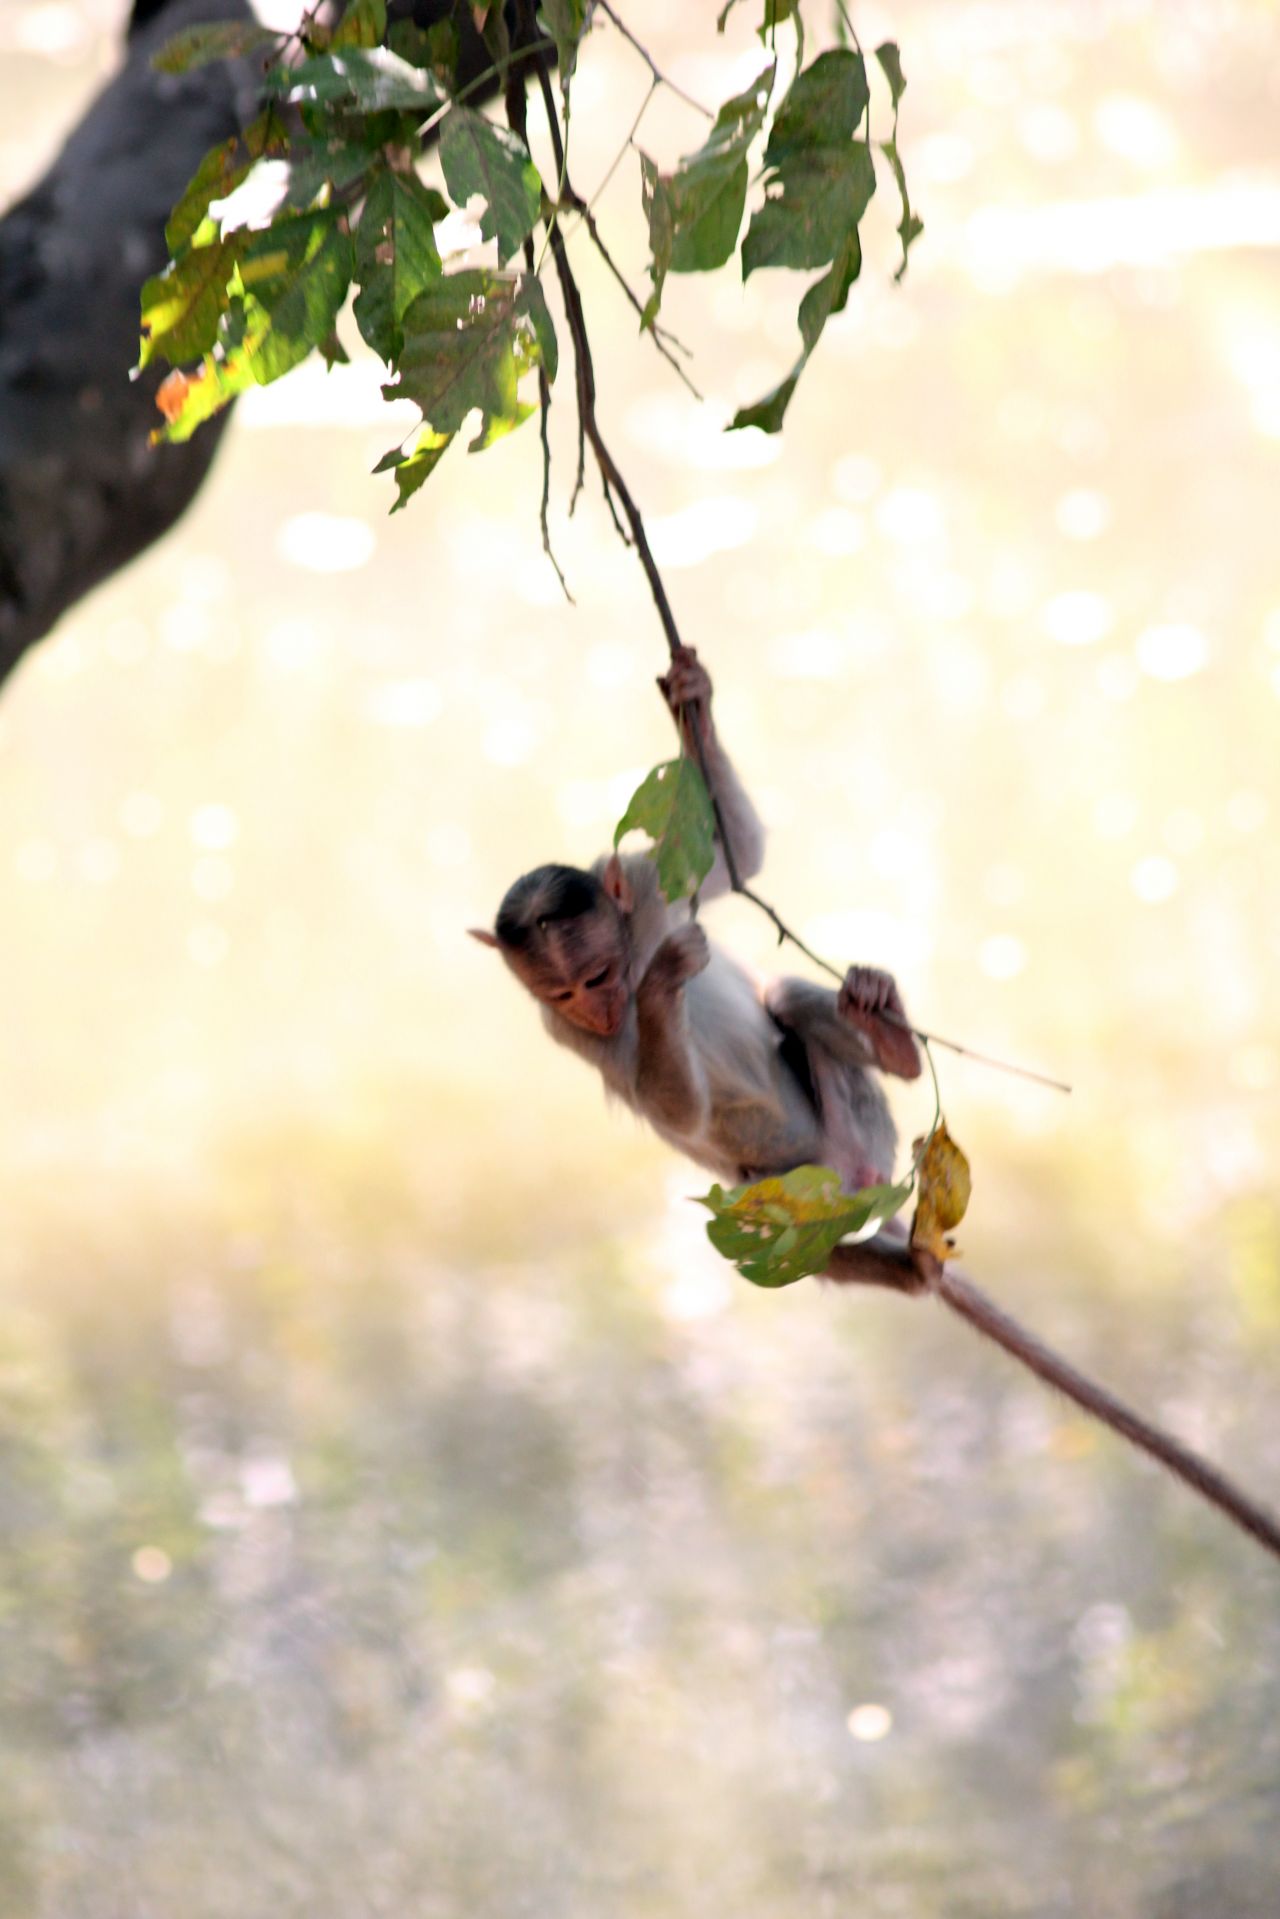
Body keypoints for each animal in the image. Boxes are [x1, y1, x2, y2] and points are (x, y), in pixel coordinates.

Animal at [470, 644, 921, 1243]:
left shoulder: (646, 885)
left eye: (595, 978)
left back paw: (892, 1039)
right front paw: (665, 977)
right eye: (564, 995)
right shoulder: (567, 1031)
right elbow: (674, 1110)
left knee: (784, 998)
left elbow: (740, 854)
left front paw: (693, 706)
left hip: (863, 1137)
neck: (631, 959)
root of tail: (850, 1184)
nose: (597, 1011)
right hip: (780, 1190)